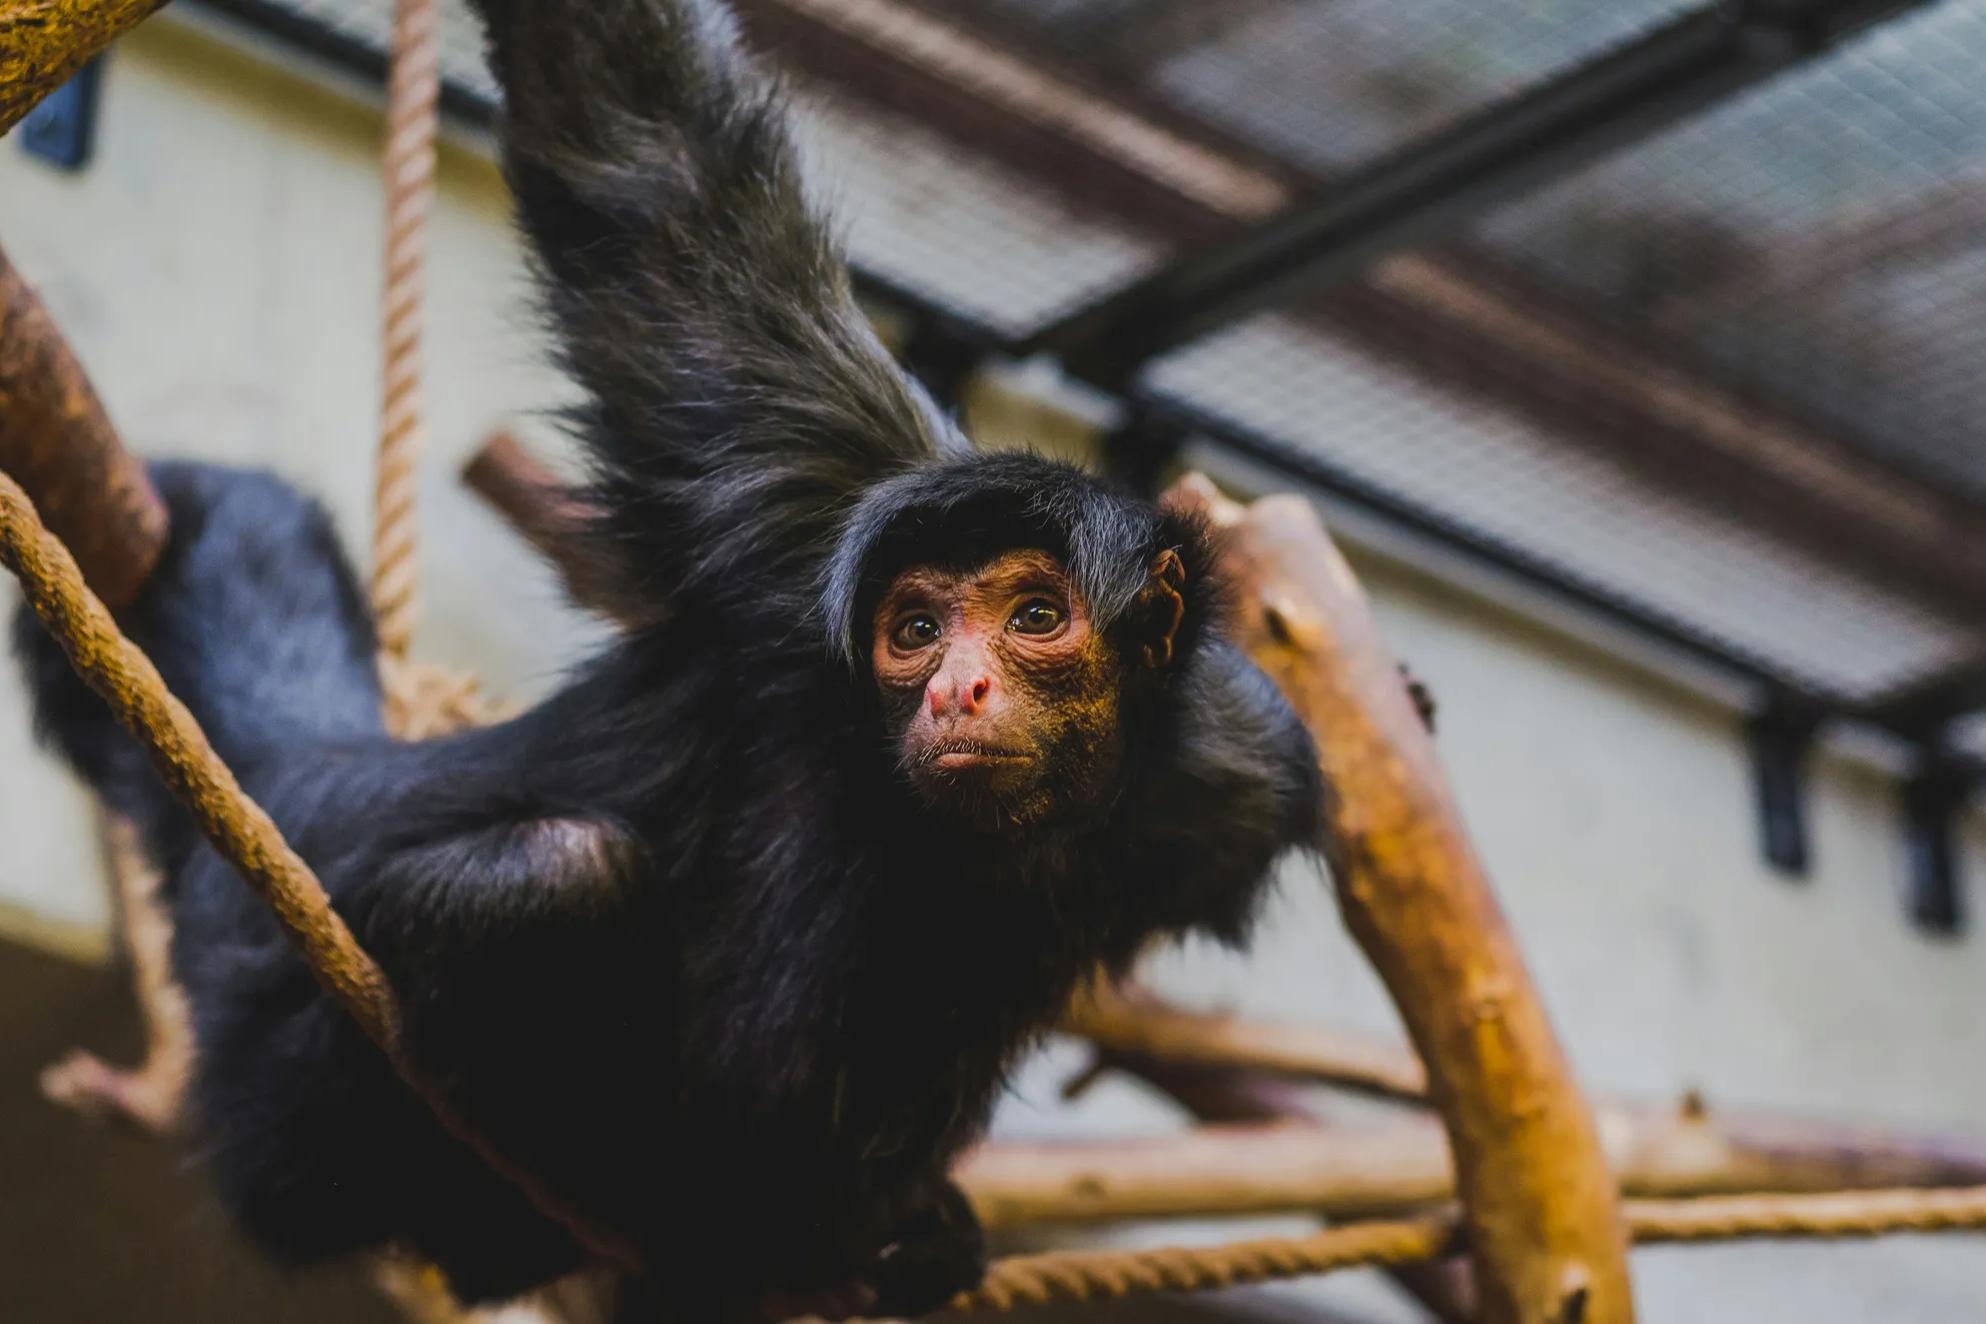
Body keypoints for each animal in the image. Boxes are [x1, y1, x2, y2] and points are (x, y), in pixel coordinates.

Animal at [10, 0, 1326, 1317]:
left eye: (1036, 616)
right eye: (913, 631)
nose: (961, 683)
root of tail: (324, 781)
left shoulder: (1231, 765)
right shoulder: (811, 534)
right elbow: (652, 161)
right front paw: (824, 1236)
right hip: (286, 1102)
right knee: (558, 875)